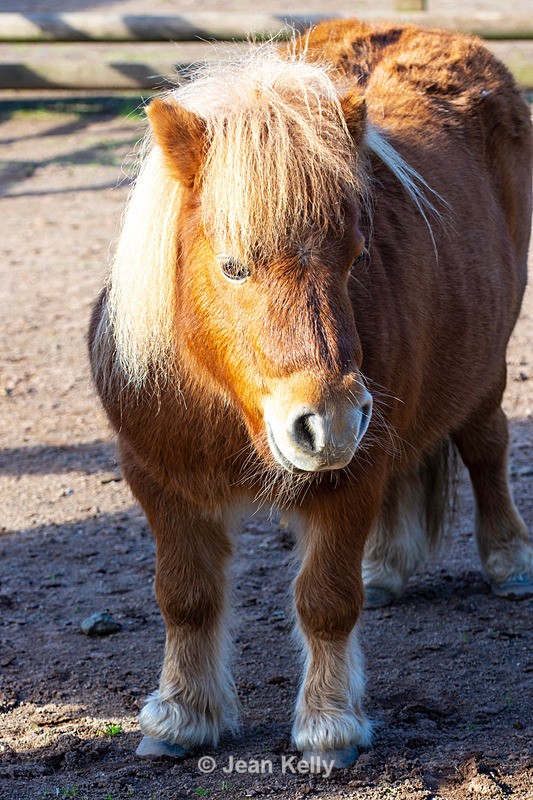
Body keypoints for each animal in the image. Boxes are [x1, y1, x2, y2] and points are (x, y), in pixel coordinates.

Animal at [89, 19, 533, 768]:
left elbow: (326, 599)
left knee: (485, 447)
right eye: (233, 266)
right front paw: (182, 716)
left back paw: (508, 560)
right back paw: (387, 567)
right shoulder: (157, 477)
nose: (328, 424)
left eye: (354, 257)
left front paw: (329, 726)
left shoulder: (350, 477)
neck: (224, 403)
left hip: (481, 368)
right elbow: (185, 596)